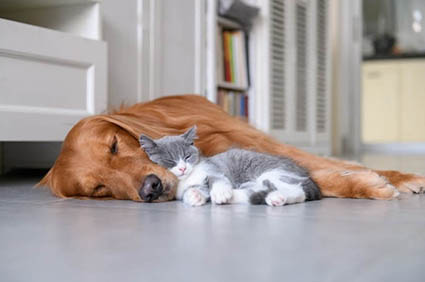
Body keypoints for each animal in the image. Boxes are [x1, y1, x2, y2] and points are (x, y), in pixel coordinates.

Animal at [139, 126, 322, 206]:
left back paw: (275, 197)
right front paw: (195, 196)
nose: (183, 168)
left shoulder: (214, 168)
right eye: (170, 161)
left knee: (298, 192)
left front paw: (220, 192)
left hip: (272, 172)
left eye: (187, 156)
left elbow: (217, 178)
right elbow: (194, 191)